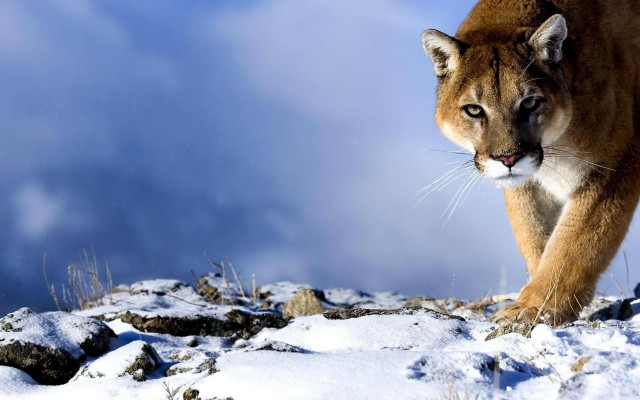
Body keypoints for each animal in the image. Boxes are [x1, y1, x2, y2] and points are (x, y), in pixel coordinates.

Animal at [421, 0, 640, 326]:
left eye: (529, 103)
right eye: (474, 110)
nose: (508, 158)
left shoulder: (614, 166)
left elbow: (574, 243)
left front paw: (536, 308)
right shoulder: (529, 185)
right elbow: (534, 236)